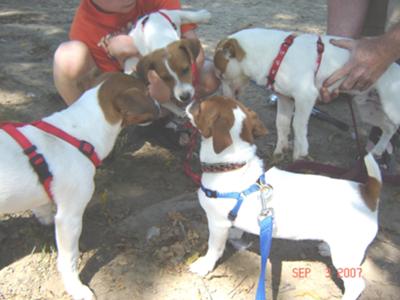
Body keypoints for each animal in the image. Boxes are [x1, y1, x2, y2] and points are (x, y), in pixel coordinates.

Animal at [0, 73, 159, 300]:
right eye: (147, 92)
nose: (160, 105)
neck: (80, 134)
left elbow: (42, 206)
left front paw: (44, 217)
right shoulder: (70, 217)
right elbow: (69, 258)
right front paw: (75, 286)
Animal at [216, 28, 400, 162]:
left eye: (220, 75)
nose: (224, 97)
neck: (278, 53)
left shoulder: (305, 97)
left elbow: (298, 125)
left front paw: (300, 153)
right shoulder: (285, 98)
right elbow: (282, 124)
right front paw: (280, 150)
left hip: (392, 108)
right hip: (368, 108)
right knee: (388, 128)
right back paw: (377, 151)